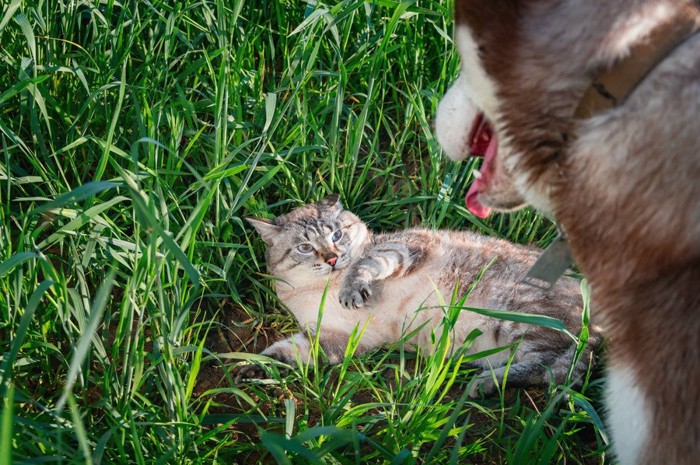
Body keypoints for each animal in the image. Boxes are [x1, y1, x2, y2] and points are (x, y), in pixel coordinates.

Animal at [243, 195, 600, 396]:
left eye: (338, 234)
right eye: (305, 247)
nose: (332, 258)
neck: (324, 288)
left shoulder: (406, 247)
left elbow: (366, 263)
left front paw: (353, 287)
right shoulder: (335, 338)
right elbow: (285, 352)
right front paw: (252, 369)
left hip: (518, 316)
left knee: (557, 366)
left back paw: (482, 383)